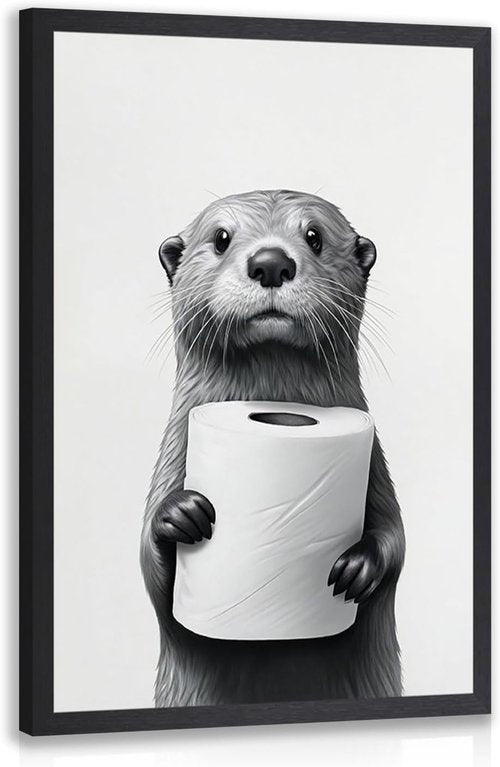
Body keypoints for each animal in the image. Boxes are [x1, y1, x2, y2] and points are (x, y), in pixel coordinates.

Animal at [141, 190, 405, 707]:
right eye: (221, 237)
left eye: (314, 236)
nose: (270, 262)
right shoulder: (173, 456)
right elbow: (150, 568)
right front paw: (179, 514)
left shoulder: (376, 469)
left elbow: (396, 538)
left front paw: (358, 567)